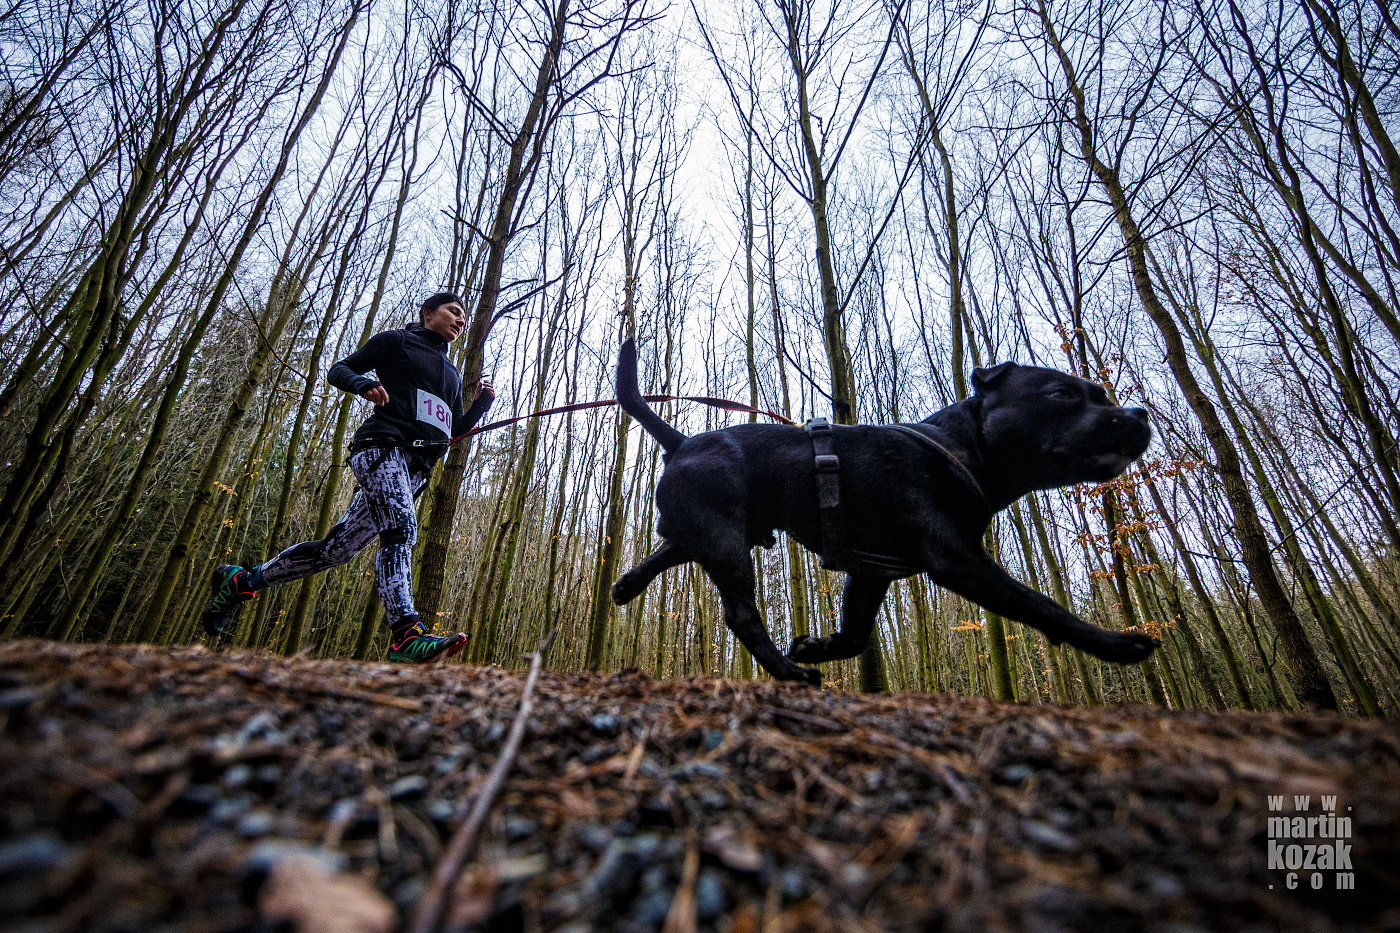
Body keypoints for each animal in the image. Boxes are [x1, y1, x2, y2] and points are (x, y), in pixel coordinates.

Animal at [610, 339, 1158, 687]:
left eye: (1101, 394)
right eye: (1061, 395)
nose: (1138, 414)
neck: (962, 447)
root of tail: (682, 442)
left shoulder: (871, 573)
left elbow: (855, 636)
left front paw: (817, 646)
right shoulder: (958, 560)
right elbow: (1040, 604)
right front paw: (1115, 644)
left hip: (714, 534)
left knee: (664, 551)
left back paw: (625, 587)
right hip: (726, 543)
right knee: (741, 614)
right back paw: (790, 675)